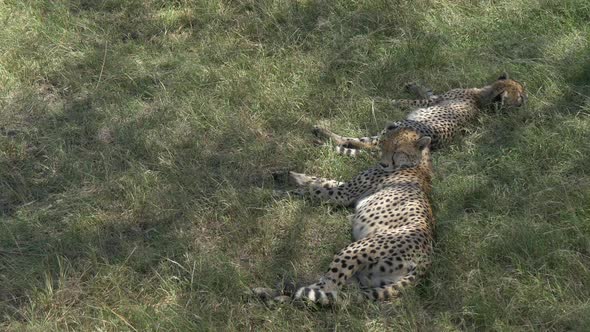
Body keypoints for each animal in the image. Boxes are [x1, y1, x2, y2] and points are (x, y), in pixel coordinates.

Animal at [254, 126, 434, 304]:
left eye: (398, 150)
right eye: (383, 144)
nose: (383, 164)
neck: (418, 162)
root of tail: (426, 261)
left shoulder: (343, 194)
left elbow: (310, 190)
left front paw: (269, 193)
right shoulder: (346, 189)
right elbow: (320, 180)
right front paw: (287, 175)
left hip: (354, 251)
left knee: (324, 288)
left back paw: (274, 293)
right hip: (367, 276)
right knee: (331, 292)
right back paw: (275, 294)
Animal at [314, 72, 528, 156]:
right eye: (520, 92)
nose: (526, 98)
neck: (483, 99)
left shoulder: (431, 102)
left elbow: (408, 101)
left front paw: (385, 100)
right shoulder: (435, 97)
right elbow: (426, 90)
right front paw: (413, 85)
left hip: (395, 125)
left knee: (368, 144)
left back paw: (321, 134)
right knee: (358, 141)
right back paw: (321, 134)